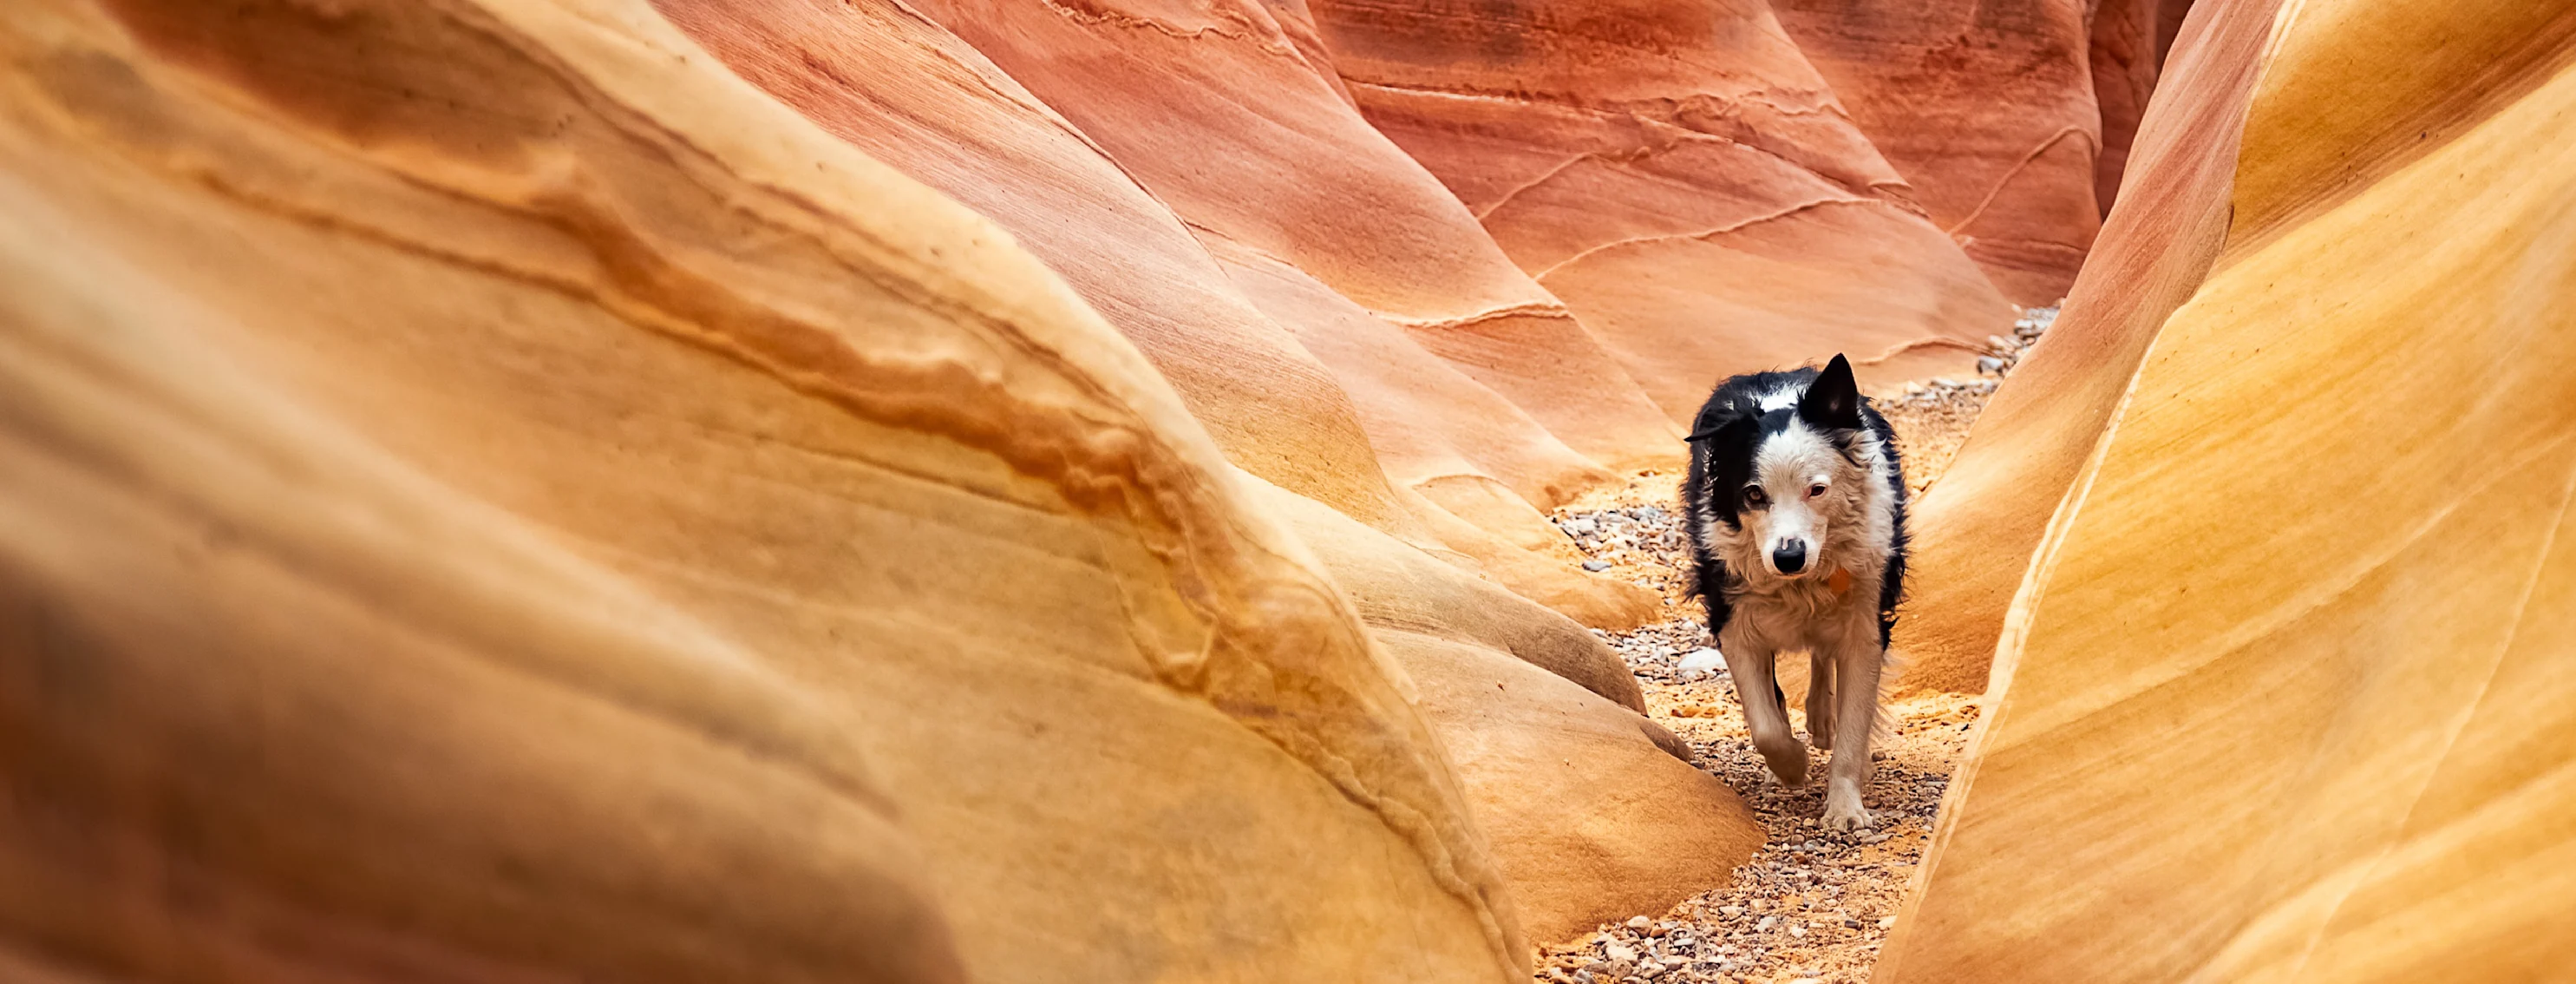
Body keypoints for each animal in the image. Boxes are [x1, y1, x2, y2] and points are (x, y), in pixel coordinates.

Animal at [1679, 352, 1906, 829]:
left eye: (1817, 489)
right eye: (1753, 494)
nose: (1788, 557)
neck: (1801, 582)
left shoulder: (1866, 616)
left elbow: (1854, 726)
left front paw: (1845, 810)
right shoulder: (1733, 615)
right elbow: (1766, 725)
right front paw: (1791, 765)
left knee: (1823, 655)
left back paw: (1822, 720)